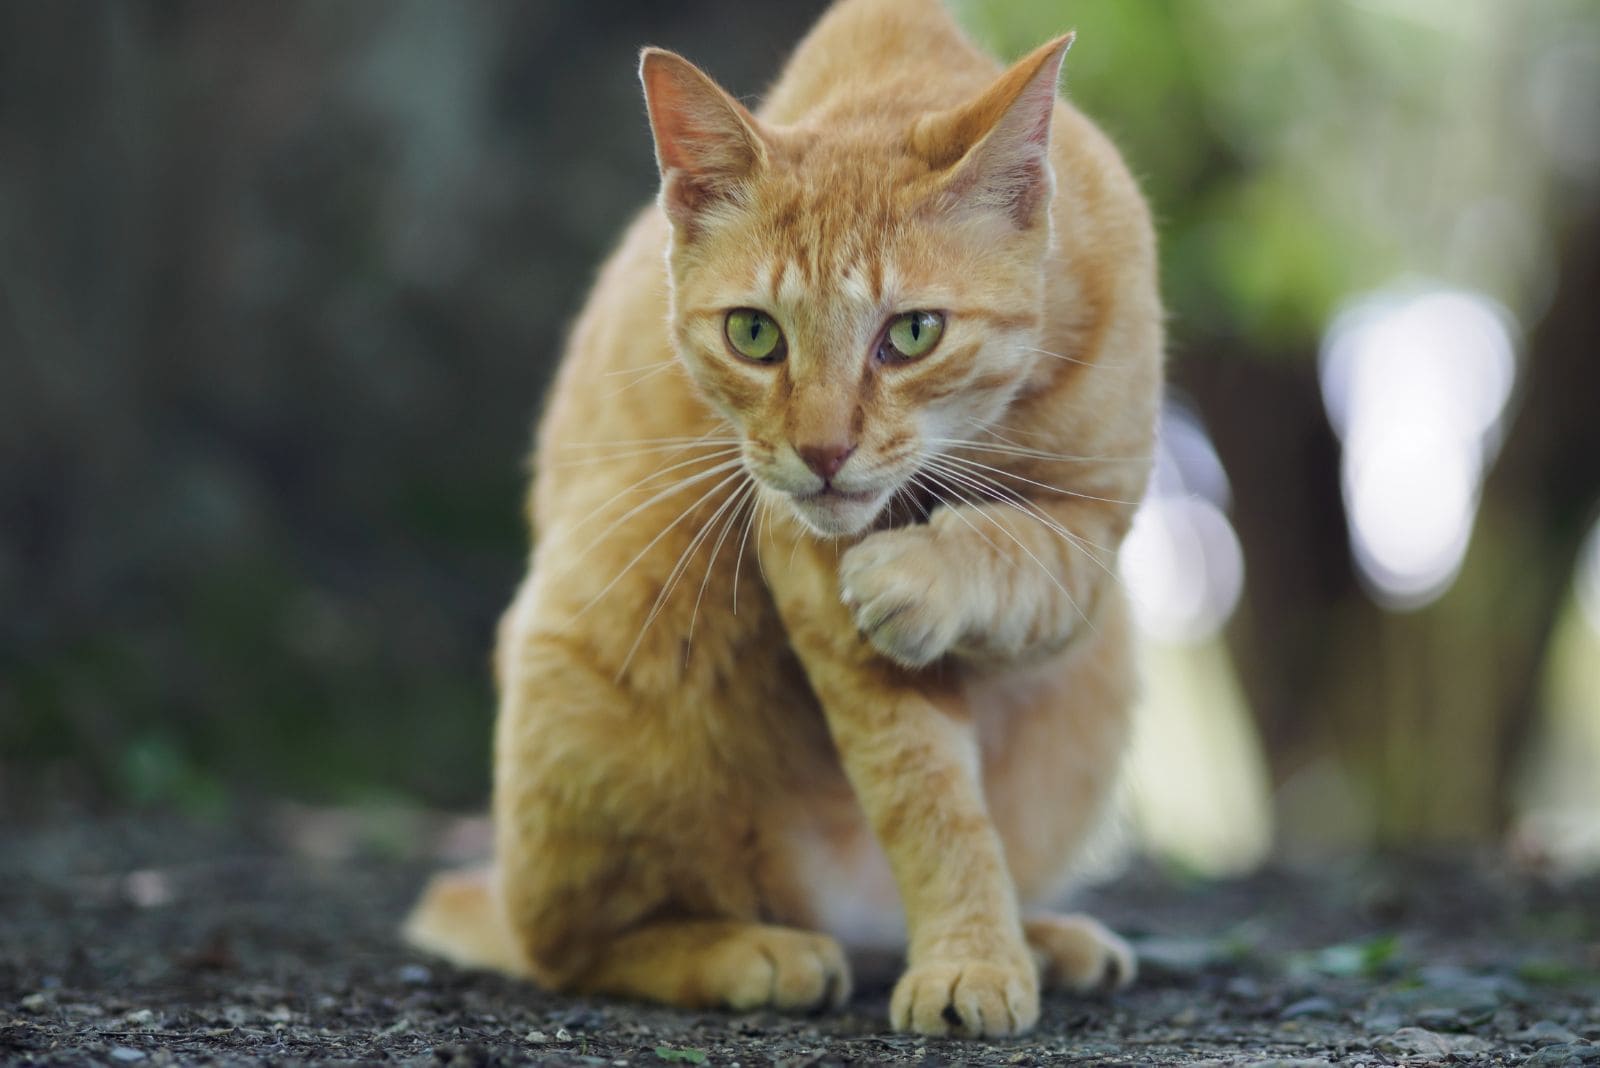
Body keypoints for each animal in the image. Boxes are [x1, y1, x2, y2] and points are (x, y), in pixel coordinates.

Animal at [409, 0, 1164, 1036]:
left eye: (913, 332)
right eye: (754, 333)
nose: (823, 452)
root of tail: (838, 906)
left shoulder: (1094, 540)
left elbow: (1024, 550)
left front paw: (924, 572)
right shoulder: (811, 584)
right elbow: (928, 799)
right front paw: (971, 955)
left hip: (1104, 669)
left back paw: (1041, 936)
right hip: (611, 612)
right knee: (571, 948)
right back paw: (751, 949)